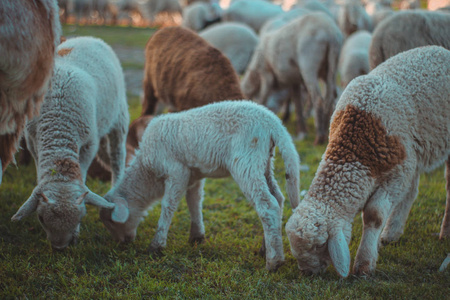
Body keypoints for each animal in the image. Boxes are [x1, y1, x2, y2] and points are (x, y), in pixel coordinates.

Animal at [11, 36, 130, 250]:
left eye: (81, 218)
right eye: (41, 219)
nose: (59, 248)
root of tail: (88, 38)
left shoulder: (89, 143)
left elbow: (83, 171)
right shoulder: (32, 140)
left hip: (119, 117)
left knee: (117, 156)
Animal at [100, 99, 300, 270]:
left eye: (110, 221)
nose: (122, 243)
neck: (147, 170)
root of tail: (272, 122)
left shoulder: (177, 171)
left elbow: (168, 206)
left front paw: (156, 245)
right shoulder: (193, 175)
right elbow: (194, 202)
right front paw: (196, 236)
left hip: (246, 161)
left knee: (267, 205)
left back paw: (274, 262)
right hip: (264, 162)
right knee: (278, 198)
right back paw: (265, 248)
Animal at [241, 12, 342, 146]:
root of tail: (330, 32)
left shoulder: (266, 75)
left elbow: (262, 99)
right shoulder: (294, 80)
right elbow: (297, 104)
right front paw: (301, 130)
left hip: (309, 64)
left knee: (318, 99)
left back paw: (319, 137)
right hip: (331, 67)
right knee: (330, 98)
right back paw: (327, 132)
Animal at [286, 45, 448, 278]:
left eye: (319, 245)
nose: (307, 273)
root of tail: (440, 49)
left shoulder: (396, 174)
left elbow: (374, 214)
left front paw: (364, 264)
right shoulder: (404, 165)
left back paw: (444, 232)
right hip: (414, 153)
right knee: (411, 191)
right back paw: (392, 233)